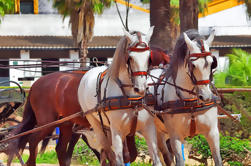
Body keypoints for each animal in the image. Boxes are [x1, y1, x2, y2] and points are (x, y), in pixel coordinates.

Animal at [77, 27, 162, 165]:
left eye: (149, 58)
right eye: (130, 58)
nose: (141, 88)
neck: (133, 99)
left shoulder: (149, 128)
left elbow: (156, 159)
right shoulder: (116, 131)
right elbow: (118, 160)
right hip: (96, 124)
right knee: (106, 152)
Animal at [147, 29, 222, 166]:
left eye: (211, 64)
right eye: (193, 65)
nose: (205, 96)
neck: (191, 103)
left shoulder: (213, 133)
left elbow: (218, 160)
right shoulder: (176, 137)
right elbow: (179, 160)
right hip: (155, 132)